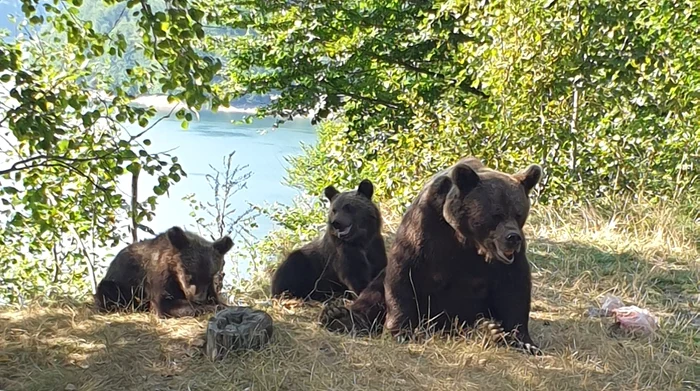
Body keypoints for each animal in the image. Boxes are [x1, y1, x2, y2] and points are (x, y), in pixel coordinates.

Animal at [93, 227, 234, 318]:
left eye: (210, 276)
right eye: (189, 275)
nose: (199, 299)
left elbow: (216, 299)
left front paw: (222, 306)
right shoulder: (158, 278)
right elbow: (164, 303)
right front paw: (208, 308)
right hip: (118, 285)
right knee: (109, 291)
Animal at [320, 157, 544, 356]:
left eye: (518, 213)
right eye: (496, 214)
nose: (512, 238)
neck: (466, 238)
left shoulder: (503, 262)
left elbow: (514, 289)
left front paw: (525, 342)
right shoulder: (426, 227)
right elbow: (403, 272)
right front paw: (399, 331)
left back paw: (489, 331)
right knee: (374, 293)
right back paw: (337, 315)